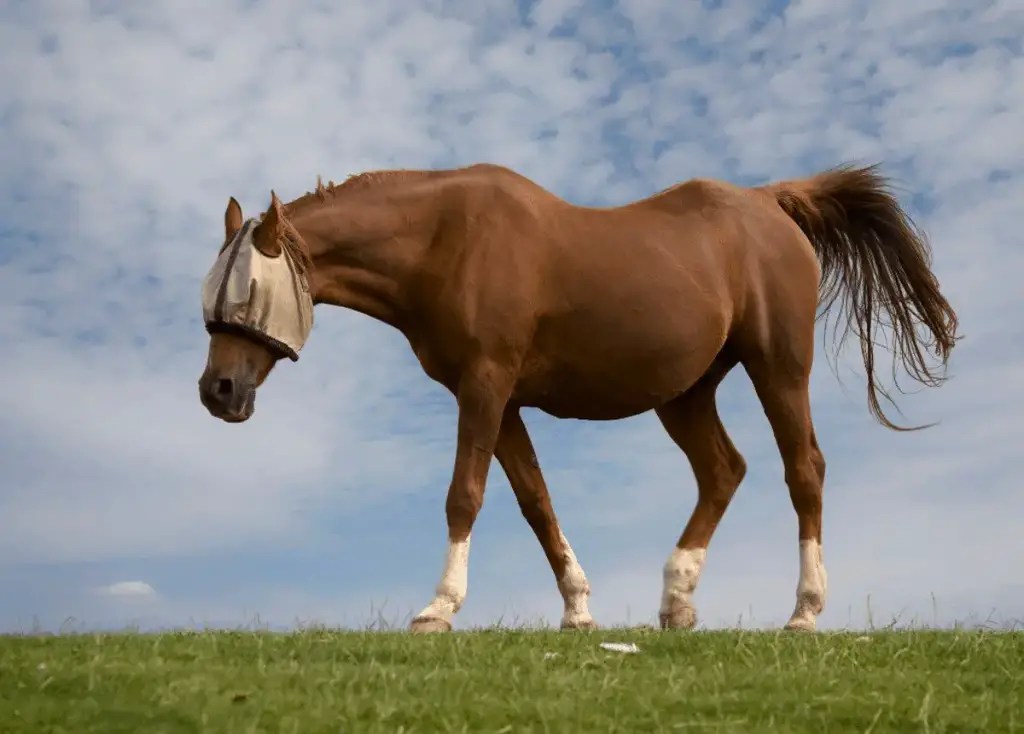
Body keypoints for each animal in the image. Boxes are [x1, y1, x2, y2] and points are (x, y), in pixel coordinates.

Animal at [198, 162, 959, 633]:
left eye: (246, 292)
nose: (217, 391)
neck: (446, 240)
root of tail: (769, 201)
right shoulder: (502, 402)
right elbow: (536, 502)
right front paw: (578, 610)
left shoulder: (485, 386)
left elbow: (464, 494)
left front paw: (439, 607)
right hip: (685, 394)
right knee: (723, 471)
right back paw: (677, 599)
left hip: (778, 367)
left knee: (803, 469)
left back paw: (803, 611)